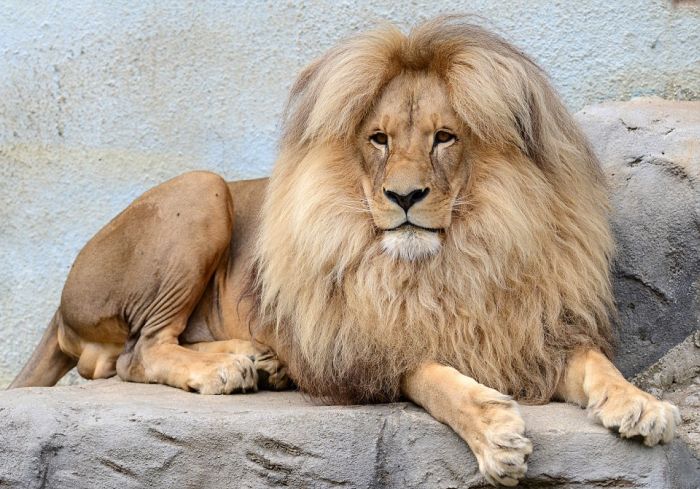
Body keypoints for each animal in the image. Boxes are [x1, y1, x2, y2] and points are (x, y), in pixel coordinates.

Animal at [9, 17, 680, 486]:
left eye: (444, 137)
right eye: (378, 139)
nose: (404, 196)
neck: (453, 261)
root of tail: (59, 307)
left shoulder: (532, 333)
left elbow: (597, 363)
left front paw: (644, 405)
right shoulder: (366, 343)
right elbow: (434, 375)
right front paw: (494, 430)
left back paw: (262, 363)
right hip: (201, 190)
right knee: (136, 354)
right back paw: (228, 367)